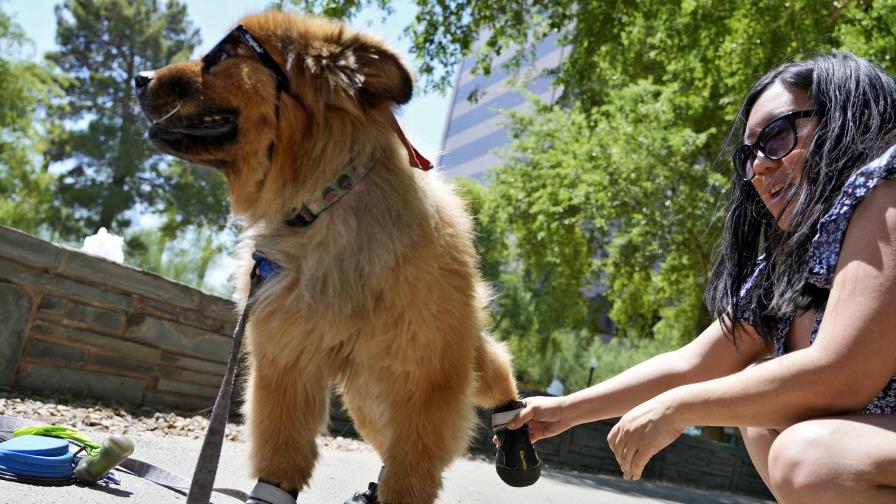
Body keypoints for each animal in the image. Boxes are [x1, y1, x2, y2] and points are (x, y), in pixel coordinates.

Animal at [136, 11, 520, 504]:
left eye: (221, 55)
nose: (140, 77)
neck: (324, 202)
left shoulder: (422, 374)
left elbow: (413, 466)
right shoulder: (288, 357)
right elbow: (282, 444)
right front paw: (272, 490)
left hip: (441, 361)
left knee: (496, 370)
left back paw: (515, 430)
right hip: (368, 398)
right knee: (386, 440)